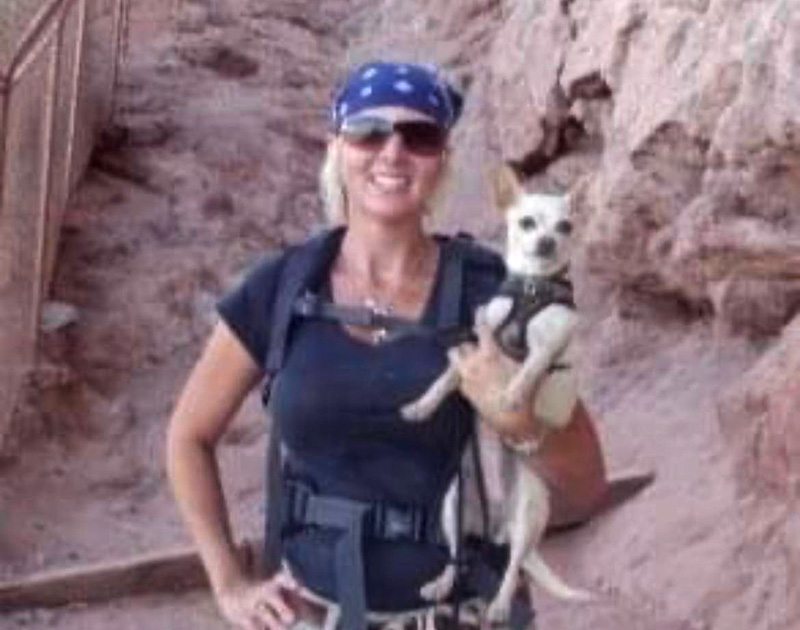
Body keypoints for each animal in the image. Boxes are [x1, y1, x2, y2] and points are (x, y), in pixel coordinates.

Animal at [401, 164, 591, 624]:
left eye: (565, 226)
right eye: (526, 223)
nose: (547, 241)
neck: (531, 288)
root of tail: (498, 523)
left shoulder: (545, 347)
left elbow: (528, 371)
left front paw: (510, 397)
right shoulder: (472, 346)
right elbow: (443, 380)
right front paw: (421, 406)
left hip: (529, 511)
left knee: (514, 564)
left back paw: (501, 604)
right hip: (454, 501)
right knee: (458, 554)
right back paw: (441, 584)